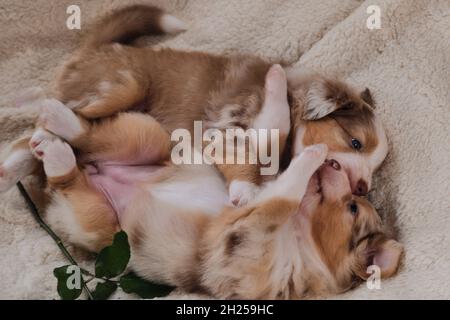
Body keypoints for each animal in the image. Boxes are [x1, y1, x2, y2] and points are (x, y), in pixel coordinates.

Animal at [0, 5, 388, 205]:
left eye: (375, 166)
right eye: (355, 142)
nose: (363, 189)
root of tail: (97, 47)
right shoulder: (230, 125)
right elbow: (265, 133)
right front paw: (246, 189)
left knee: (35, 135)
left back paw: (17, 161)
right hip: (124, 83)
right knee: (54, 116)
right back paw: (40, 118)